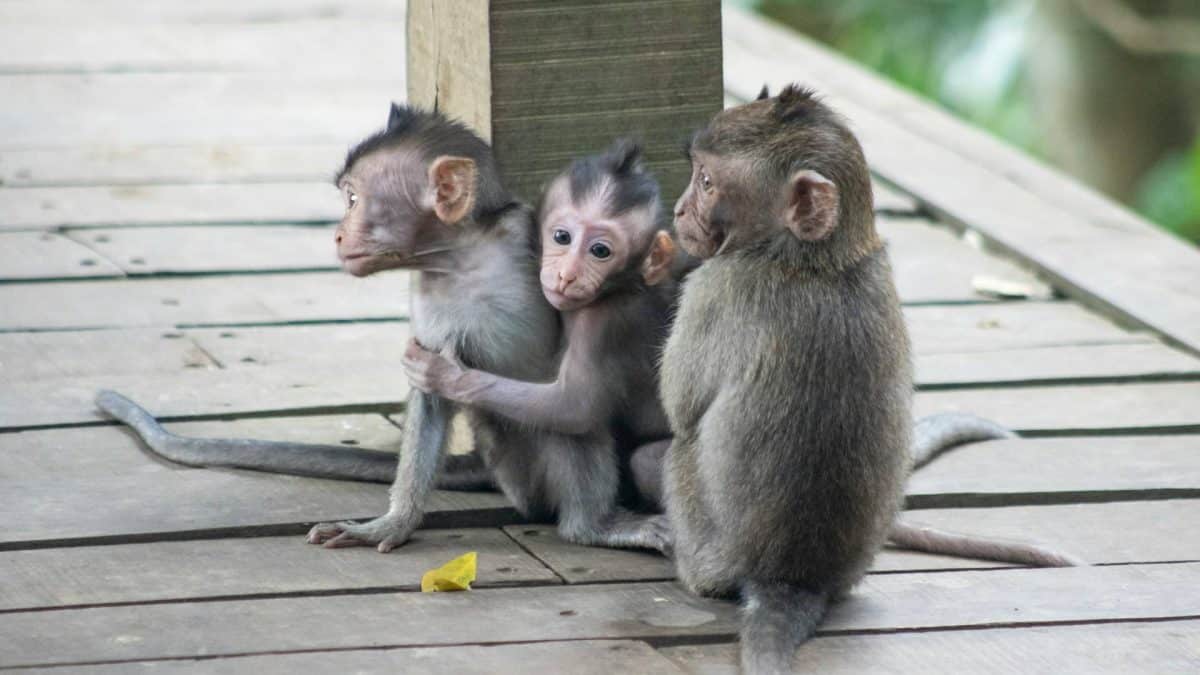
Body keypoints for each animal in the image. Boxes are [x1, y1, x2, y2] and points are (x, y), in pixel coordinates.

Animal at [657, 85, 1081, 673]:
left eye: (705, 181)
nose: (679, 210)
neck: (818, 257)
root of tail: (794, 578)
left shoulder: (718, 286)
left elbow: (678, 405)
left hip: (705, 544)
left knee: (680, 450)